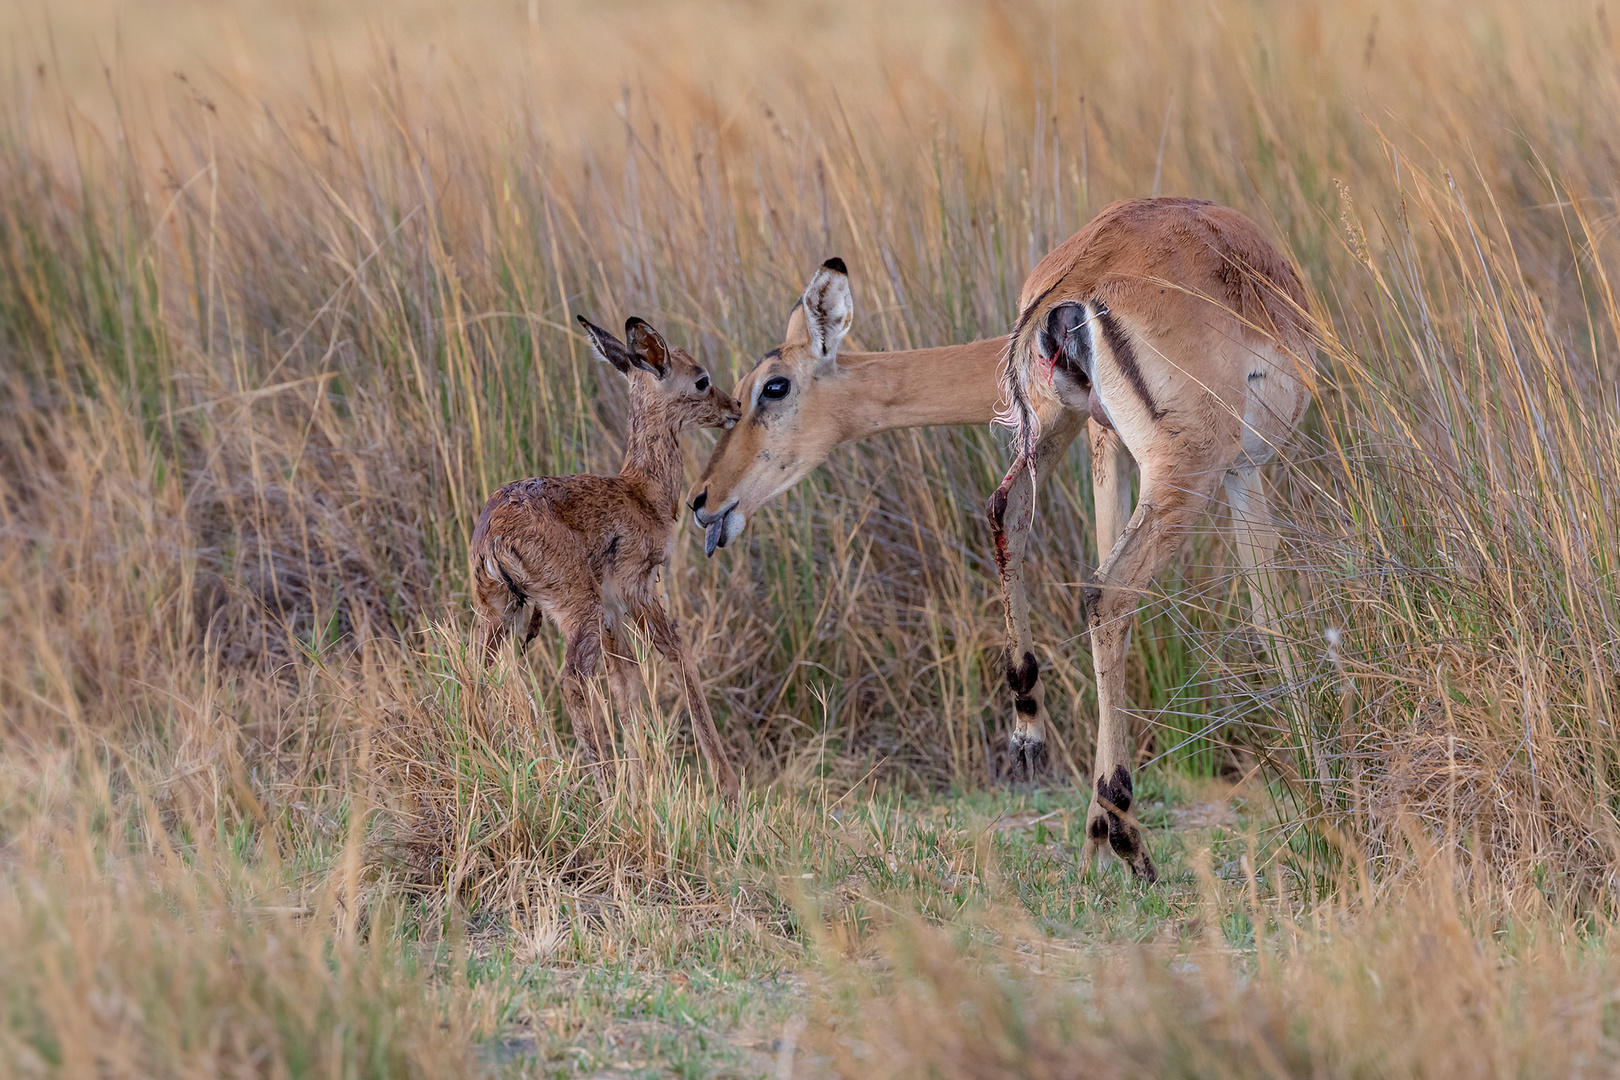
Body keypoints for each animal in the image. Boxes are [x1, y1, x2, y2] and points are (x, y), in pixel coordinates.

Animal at [473, 314, 741, 803]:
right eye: (701, 379)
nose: (733, 406)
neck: (643, 495)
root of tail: (492, 537)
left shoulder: (616, 610)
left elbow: (626, 682)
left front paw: (643, 784)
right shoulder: (637, 591)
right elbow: (678, 655)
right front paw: (727, 786)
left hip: (501, 613)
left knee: (475, 675)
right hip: (578, 609)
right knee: (571, 681)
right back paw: (606, 790)